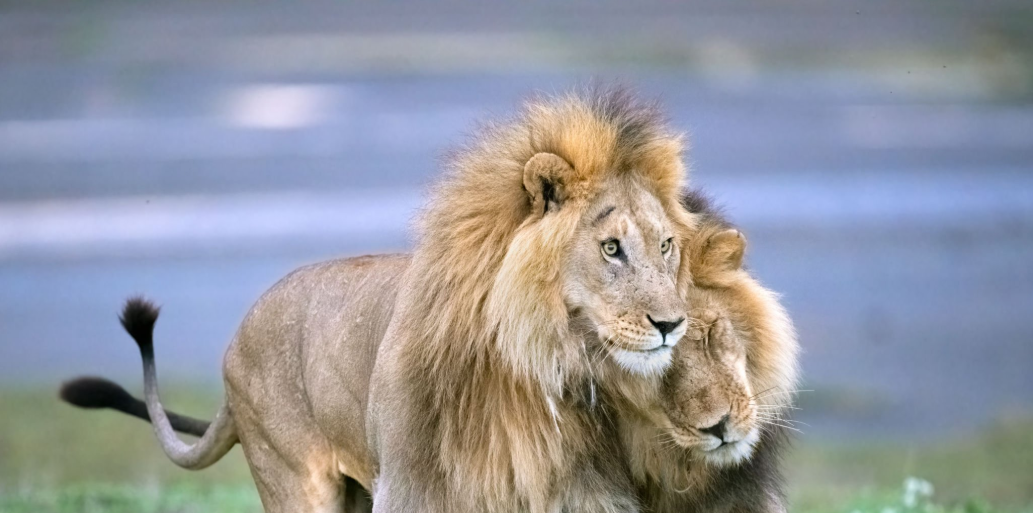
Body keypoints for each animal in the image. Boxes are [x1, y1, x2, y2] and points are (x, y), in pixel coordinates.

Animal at [60, 87, 697, 513]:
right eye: (611, 248)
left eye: (666, 244)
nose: (673, 324)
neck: (536, 360)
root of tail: (237, 340)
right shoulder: (412, 487)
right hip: (297, 480)